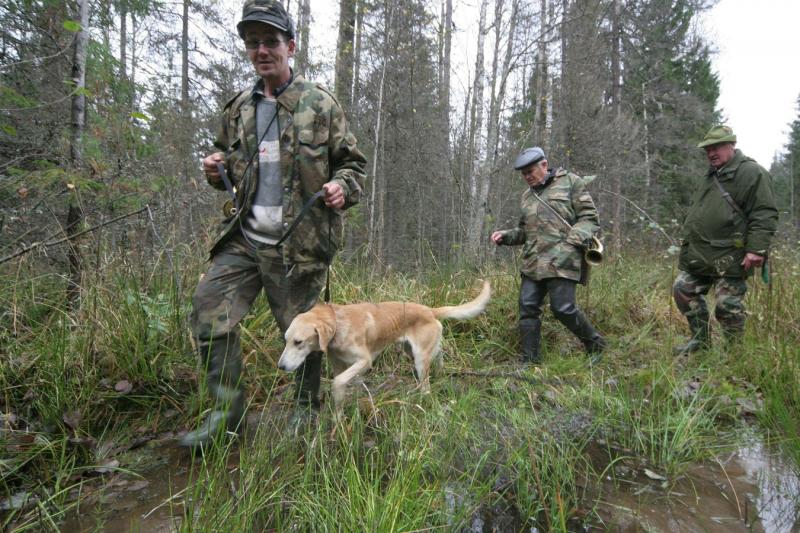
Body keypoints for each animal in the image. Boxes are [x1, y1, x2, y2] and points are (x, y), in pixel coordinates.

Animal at [278, 280, 490, 418]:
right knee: (438, 355)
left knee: (426, 387)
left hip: (420, 359)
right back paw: (440, 371)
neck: (338, 323)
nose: (281, 366)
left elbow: (338, 382)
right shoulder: (339, 365)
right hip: (413, 350)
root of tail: (429, 310)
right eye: (286, 340)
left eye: (298, 342)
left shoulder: (364, 361)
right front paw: (338, 416)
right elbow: (339, 385)